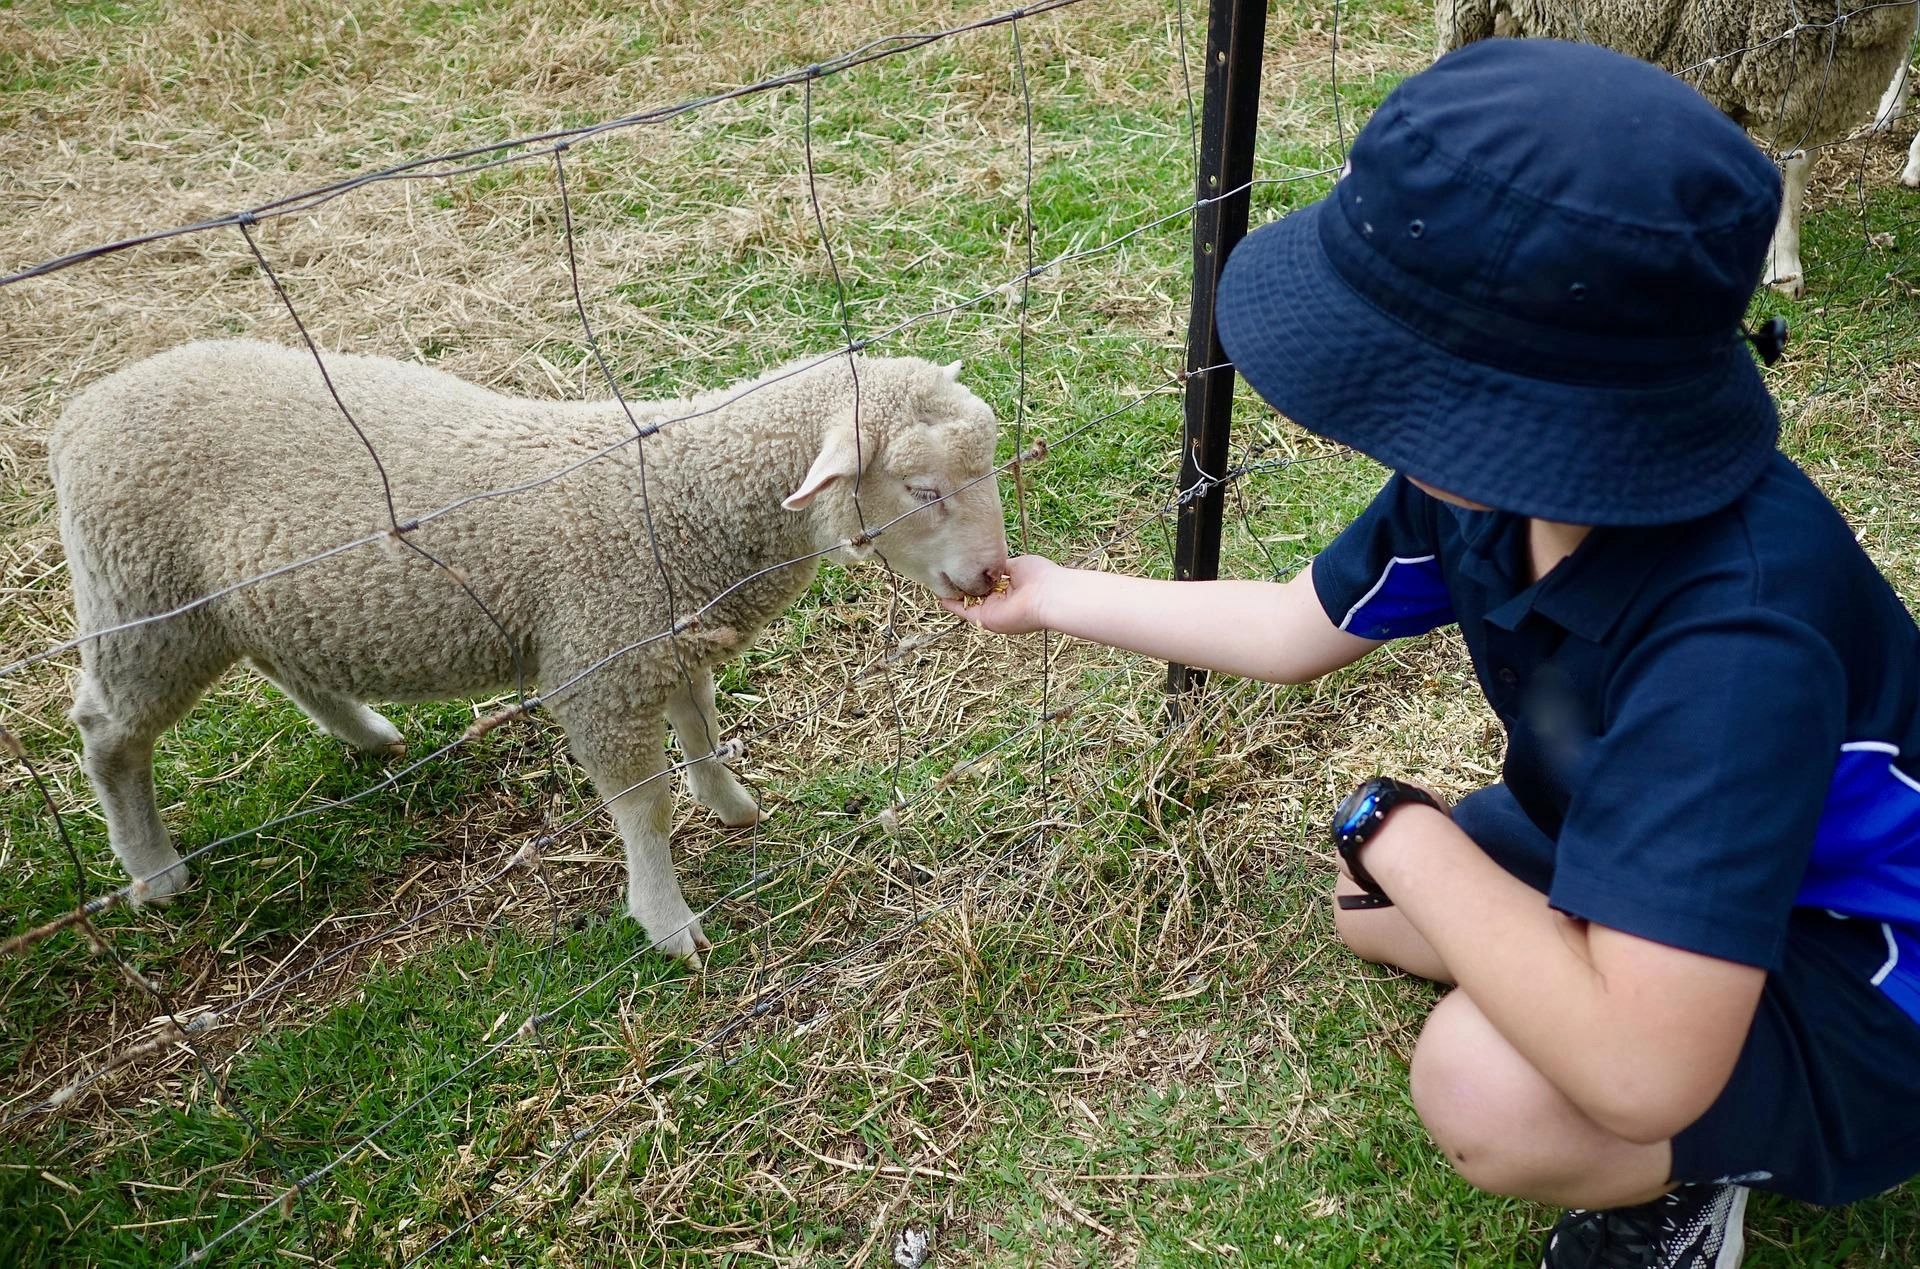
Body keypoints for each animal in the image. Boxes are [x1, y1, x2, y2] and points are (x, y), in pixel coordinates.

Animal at [49, 340, 1009, 963]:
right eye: (920, 488)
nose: (993, 572)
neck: (682, 492)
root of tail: (79, 413)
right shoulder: (601, 660)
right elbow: (643, 805)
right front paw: (666, 920)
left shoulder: (664, 636)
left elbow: (700, 725)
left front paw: (731, 801)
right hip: (142, 603)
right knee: (109, 734)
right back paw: (154, 870)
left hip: (250, 599)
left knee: (286, 660)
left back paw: (369, 735)